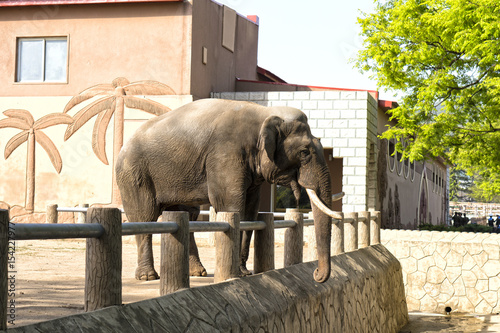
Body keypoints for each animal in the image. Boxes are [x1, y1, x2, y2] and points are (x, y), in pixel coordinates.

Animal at [116, 97, 340, 282]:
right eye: (304, 152)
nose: (316, 274)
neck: (264, 113)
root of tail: (123, 146)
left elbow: (250, 211)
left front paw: (244, 272)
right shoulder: (225, 152)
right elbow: (231, 205)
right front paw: (238, 273)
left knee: (188, 215)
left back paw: (198, 272)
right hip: (134, 175)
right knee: (144, 216)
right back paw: (148, 277)